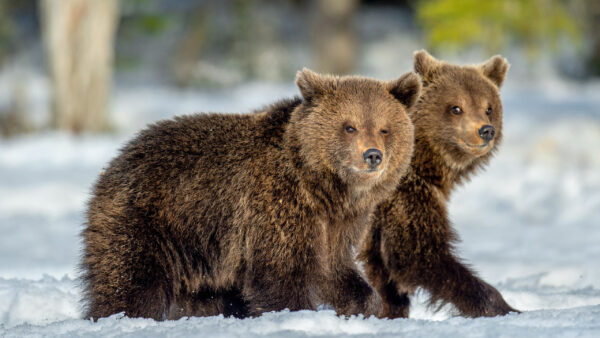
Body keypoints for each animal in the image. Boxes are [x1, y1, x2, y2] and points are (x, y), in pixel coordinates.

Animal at [79, 68, 422, 320]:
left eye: (384, 128)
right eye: (349, 127)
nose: (373, 155)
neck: (323, 187)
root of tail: (115, 160)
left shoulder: (338, 223)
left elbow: (334, 268)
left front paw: (364, 305)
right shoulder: (277, 206)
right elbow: (280, 274)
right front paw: (295, 311)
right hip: (153, 222)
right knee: (130, 280)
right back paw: (119, 316)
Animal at [360, 50, 520, 316]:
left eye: (488, 108)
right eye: (456, 107)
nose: (486, 131)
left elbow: (384, 276)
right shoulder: (403, 195)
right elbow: (419, 253)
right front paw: (505, 307)